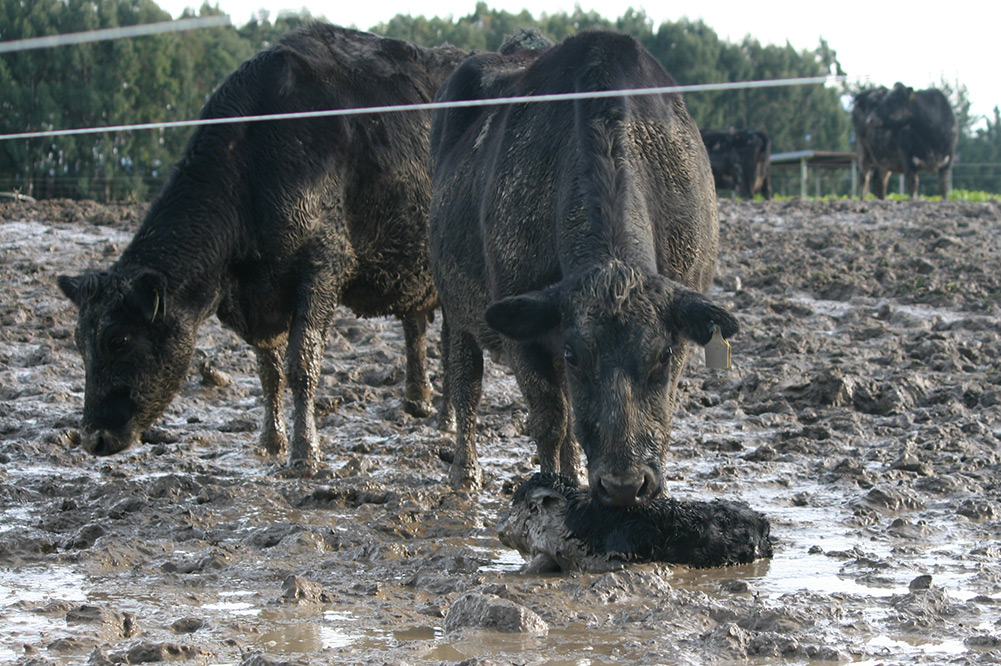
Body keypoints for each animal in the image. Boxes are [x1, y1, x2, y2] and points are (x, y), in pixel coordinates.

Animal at [58, 26, 468, 470]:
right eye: (78, 343)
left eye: (118, 340)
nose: (93, 438)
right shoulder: (258, 299)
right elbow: (268, 371)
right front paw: (271, 442)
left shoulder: (323, 264)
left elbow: (301, 363)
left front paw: (305, 454)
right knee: (417, 324)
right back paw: (418, 401)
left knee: (451, 338)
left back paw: (446, 419)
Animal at [426, 31, 740, 506]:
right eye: (576, 355)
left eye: (662, 355)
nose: (624, 485)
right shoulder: (522, 331)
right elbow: (550, 417)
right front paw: (549, 483)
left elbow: (653, 413)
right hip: (456, 305)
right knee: (467, 383)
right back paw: (465, 473)